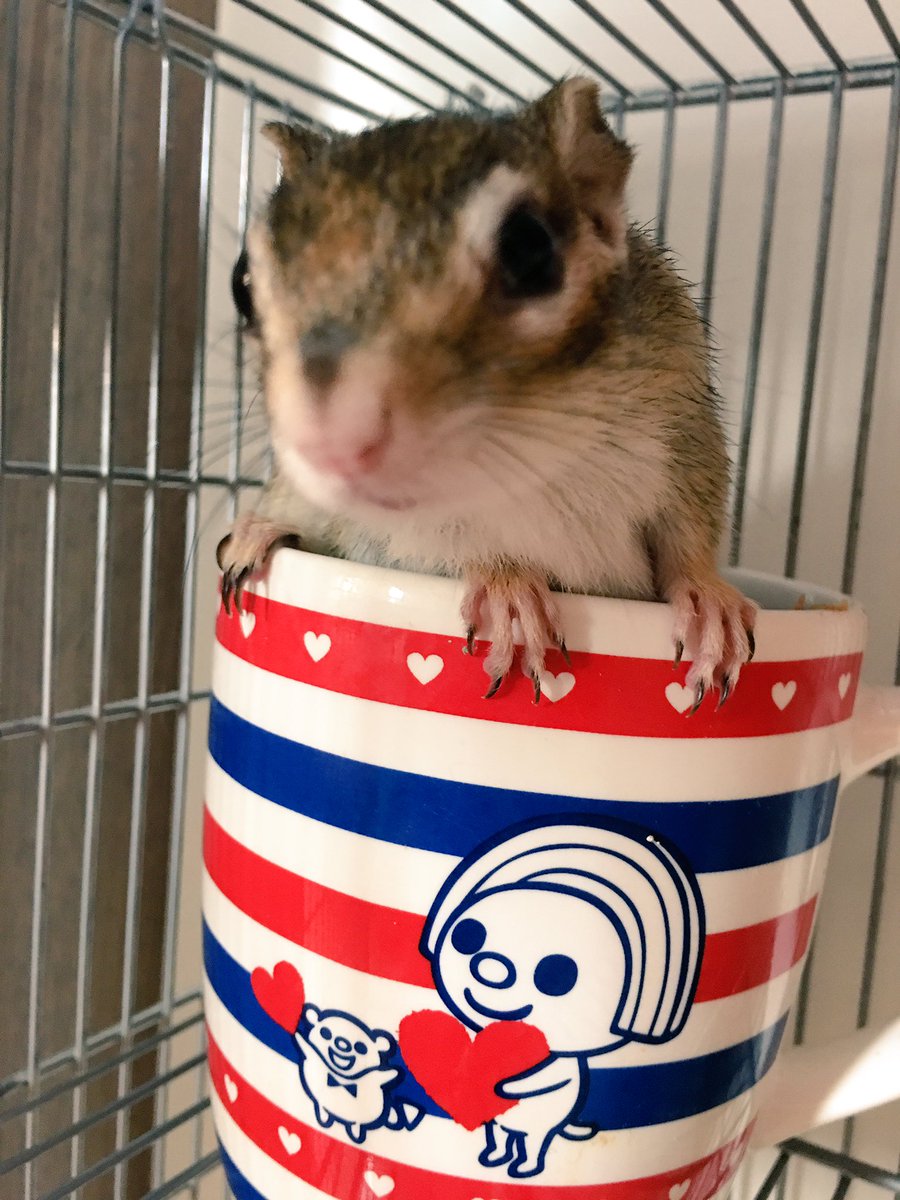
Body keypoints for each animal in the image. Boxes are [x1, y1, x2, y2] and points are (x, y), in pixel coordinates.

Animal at [218, 77, 756, 710]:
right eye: (241, 283)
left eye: (529, 248)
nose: (330, 441)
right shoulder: (397, 532)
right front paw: (508, 588)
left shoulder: (684, 420)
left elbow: (689, 531)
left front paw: (709, 602)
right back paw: (258, 530)